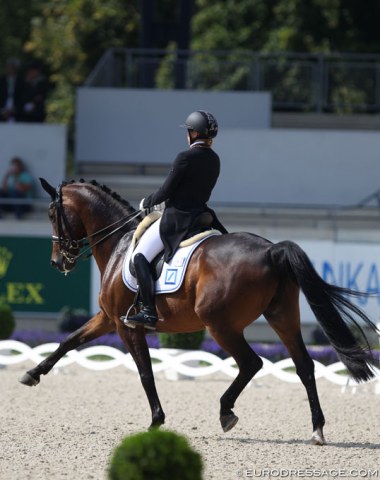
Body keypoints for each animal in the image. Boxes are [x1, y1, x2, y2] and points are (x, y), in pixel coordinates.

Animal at [20, 179, 378, 446]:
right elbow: (69, 341)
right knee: (304, 365)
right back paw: (317, 429)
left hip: (220, 323)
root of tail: (271, 249)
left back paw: (226, 412)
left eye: (52, 213)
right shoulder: (108, 319)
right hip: (281, 315)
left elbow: (145, 373)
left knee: (252, 363)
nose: (58, 262)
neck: (119, 243)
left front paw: (156, 421)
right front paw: (32, 374)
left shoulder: (126, 326)